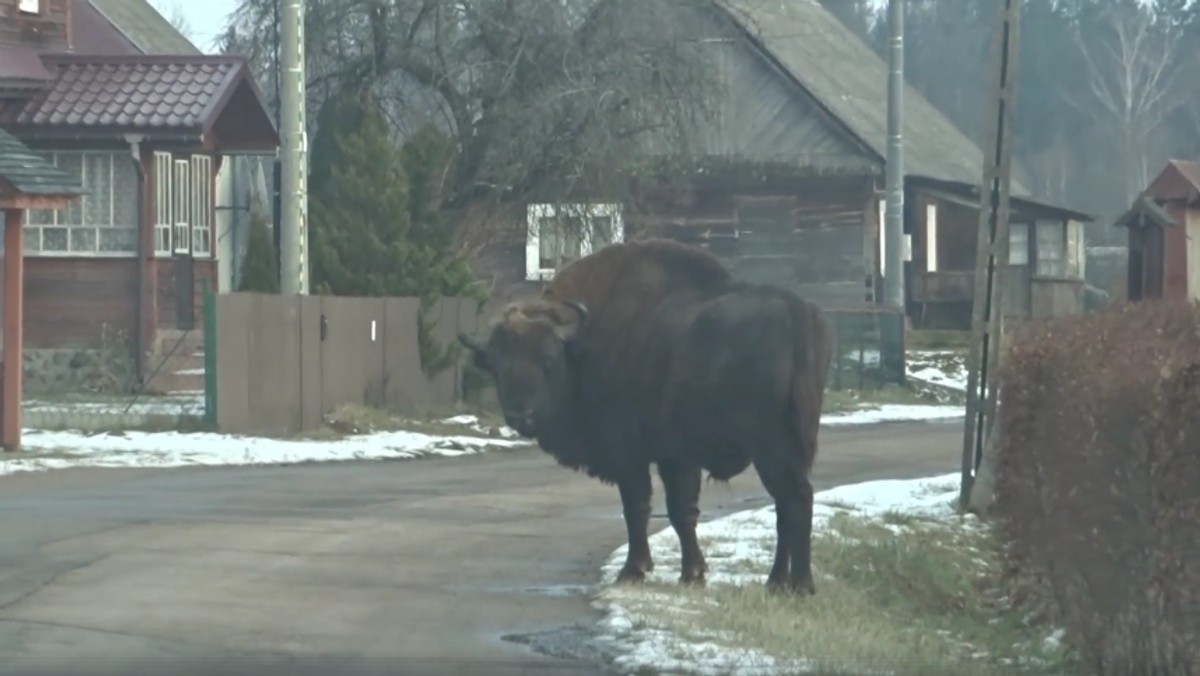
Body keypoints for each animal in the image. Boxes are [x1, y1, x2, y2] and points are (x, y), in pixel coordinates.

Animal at [458, 236, 835, 593]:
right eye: (496, 366)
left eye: (548, 359)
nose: (522, 414)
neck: (584, 345)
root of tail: (796, 312)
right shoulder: (678, 458)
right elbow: (682, 511)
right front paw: (692, 574)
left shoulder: (632, 455)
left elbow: (639, 508)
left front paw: (634, 571)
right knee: (786, 504)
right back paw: (777, 583)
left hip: (771, 447)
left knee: (795, 499)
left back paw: (799, 584)